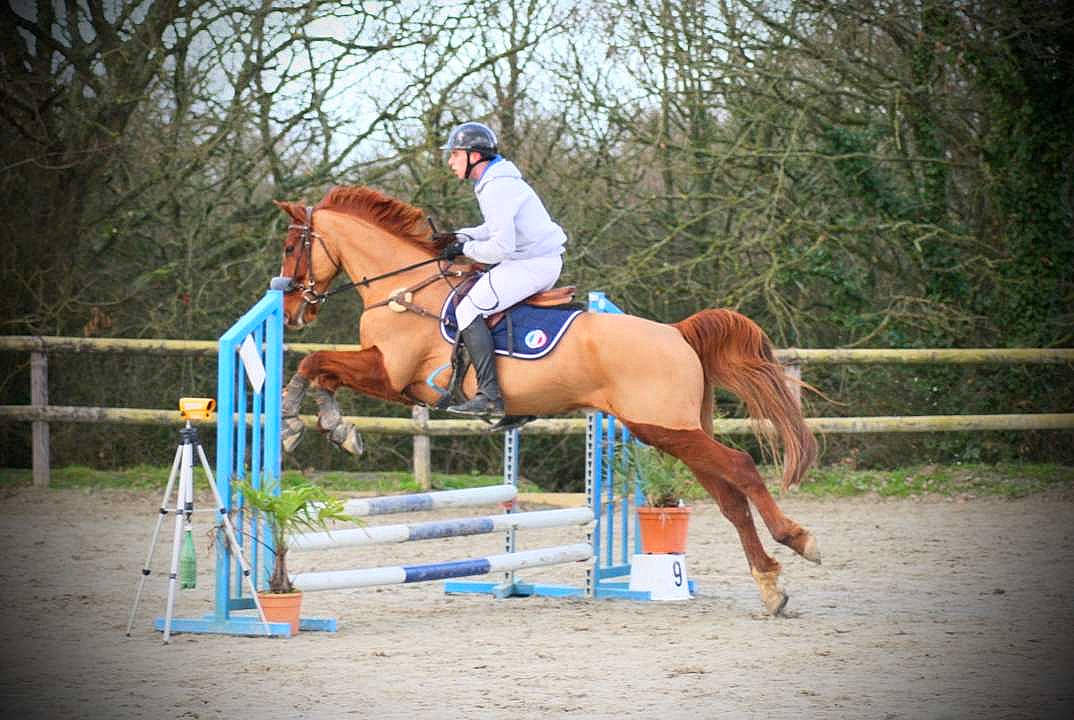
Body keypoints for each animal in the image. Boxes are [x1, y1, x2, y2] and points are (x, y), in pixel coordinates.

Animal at [271, 185, 820, 615]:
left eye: (290, 246)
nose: (293, 311)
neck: (404, 289)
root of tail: (676, 332)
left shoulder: (392, 376)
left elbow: (315, 362)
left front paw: (303, 422)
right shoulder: (388, 375)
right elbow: (321, 370)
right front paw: (331, 426)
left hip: (664, 428)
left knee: (742, 468)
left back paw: (798, 540)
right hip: (675, 431)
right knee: (729, 497)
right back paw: (770, 586)